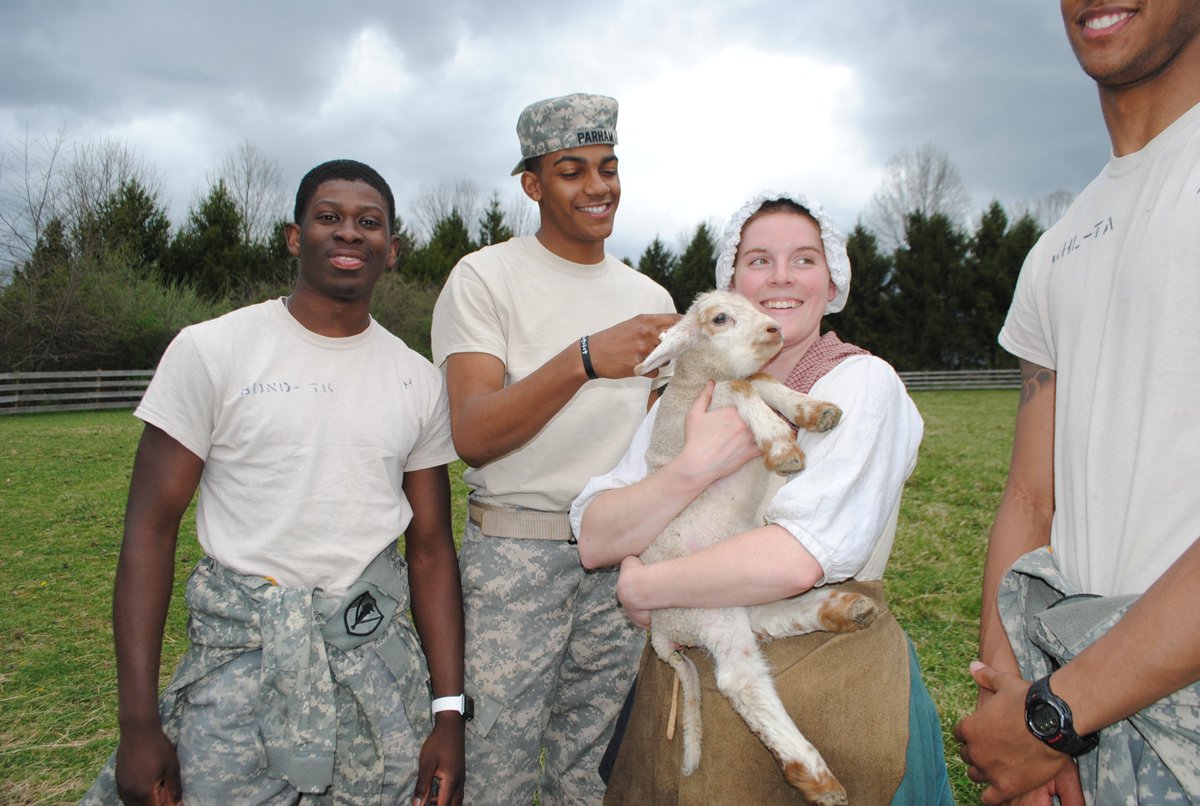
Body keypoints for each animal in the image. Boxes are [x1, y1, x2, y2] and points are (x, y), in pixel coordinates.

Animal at [633, 291, 878, 806]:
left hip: (740, 593)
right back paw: (816, 777)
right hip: (709, 608)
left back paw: (843, 611)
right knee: (741, 679)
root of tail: (662, 631)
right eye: (719, 318)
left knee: (776, 620)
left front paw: (815, 412)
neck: (692, 383)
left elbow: (761, 379)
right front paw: (783, 447)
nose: (774, 329)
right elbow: (740, 388)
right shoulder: (711, 405)